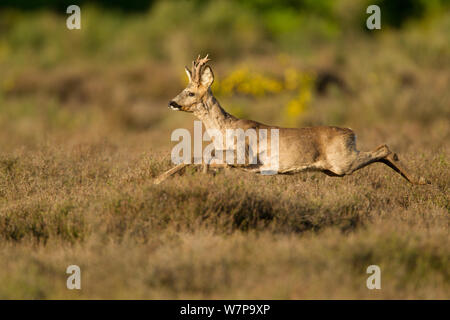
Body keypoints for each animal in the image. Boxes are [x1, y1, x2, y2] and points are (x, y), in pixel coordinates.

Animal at [155, 54, 428, 185]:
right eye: (183, 89)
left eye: (191, 92)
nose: (171, 102)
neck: (225, 129)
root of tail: (351, 132)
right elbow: (194, 156)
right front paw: (157, 180)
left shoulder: (245, 156)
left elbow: (202, 155)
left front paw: (197, 176)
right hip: (334, 169)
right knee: (383, 151)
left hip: (342, 162)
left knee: (384, 148)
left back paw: (421, 180)